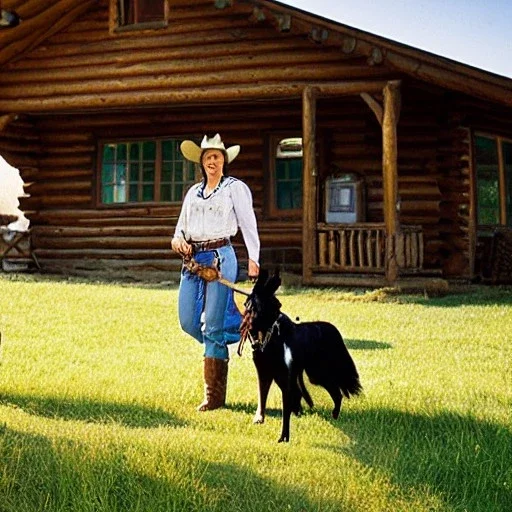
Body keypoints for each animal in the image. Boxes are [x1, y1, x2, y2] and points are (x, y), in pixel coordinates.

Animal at [242, 270, 362, 442]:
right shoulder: (265, 372)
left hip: (318, 373)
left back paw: (334, 415)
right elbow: (262, 395)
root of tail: (334, 330)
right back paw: (331, 416)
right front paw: (260, 418)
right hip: (315, 373)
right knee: (334, 393)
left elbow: (286, 410)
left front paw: (284, 438)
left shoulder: (285, 378)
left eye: (247, 303)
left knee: (337, 393)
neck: (270, 335)